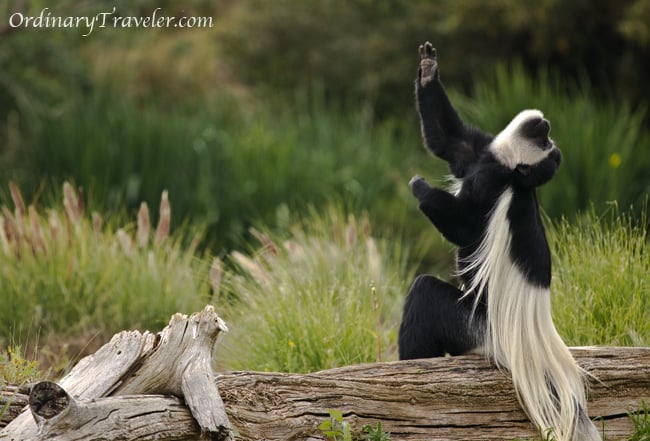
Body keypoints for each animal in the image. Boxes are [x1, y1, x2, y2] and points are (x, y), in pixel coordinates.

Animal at [398, 42, 600, 440]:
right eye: (545, 139)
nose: (544, 126)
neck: (511, 172)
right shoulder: (481, 152)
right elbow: (450, 141)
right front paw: (428, 69)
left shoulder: (489, 184)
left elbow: (463, 229)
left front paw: (420, 186)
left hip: (474, 326)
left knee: (425, 295)